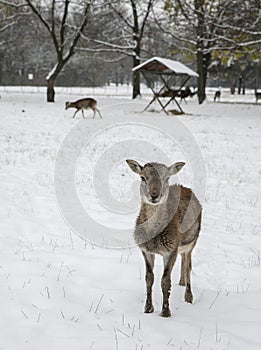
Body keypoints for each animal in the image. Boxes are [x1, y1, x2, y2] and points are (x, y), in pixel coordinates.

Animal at [126, 160, 201, 318]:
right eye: (143, 177)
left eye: (166, 178)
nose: (154, 195)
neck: (154, 236)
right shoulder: (145, 249)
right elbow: (149, 278)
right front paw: (148, 308)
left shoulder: (171, 249)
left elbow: (165, 280)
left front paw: (165, 311)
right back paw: (181, 282)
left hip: (192, 241)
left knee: (188, 265)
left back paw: (188, 296)